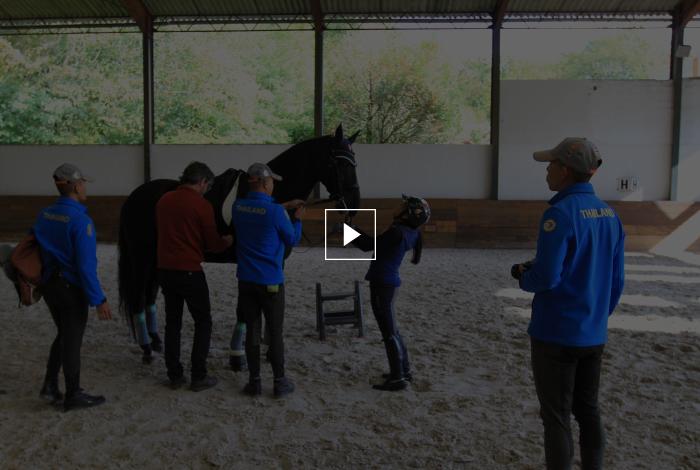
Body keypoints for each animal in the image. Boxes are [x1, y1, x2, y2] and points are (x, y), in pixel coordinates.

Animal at [118, 125, 361, 364]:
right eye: (339, 163)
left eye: (354, 161)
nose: (354, 204)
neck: (273, 196)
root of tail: (135, 196)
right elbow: (245, 310)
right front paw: (241, 355)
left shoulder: (275, 263)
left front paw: (268, 351)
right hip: (142, 259)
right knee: (139, 298)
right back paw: (146, 348)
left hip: (156, 261)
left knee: (149, 297)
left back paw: (156, 341)